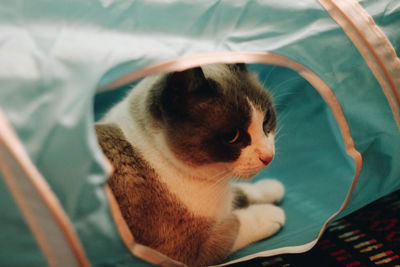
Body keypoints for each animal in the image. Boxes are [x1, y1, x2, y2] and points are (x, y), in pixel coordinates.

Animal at [95, 63, 286, 266]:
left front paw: (271, 188)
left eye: (266, 119)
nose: (269, 156)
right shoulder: (186, 251)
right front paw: (272, 214)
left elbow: (242, 192)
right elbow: (237, 224)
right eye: (231, 136)